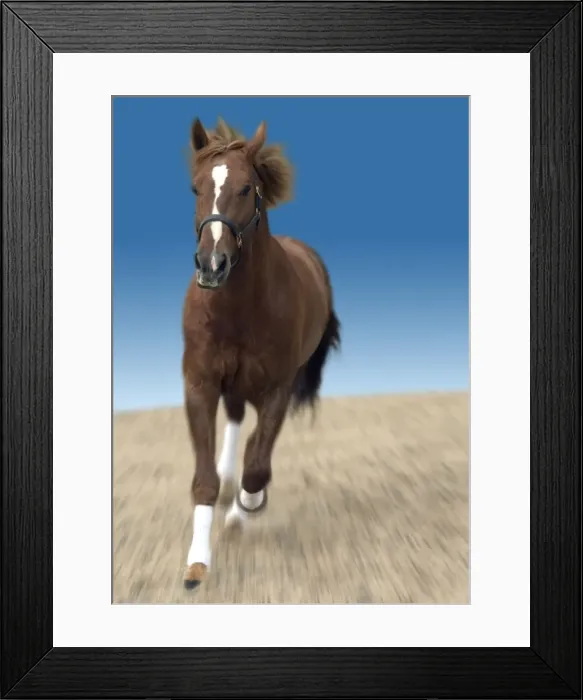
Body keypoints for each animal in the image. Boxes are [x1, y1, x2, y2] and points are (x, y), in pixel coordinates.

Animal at [181, 116, 341, 589]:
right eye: (196, 188)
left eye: (247, 188)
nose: (212, 265)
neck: (237, 309)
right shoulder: (200, 384)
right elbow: (205, 480)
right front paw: (197, 565)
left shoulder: (277, 389)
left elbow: (258, 463)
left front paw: (248, 506)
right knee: (236, 421)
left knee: (253, 444)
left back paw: (241, 509)